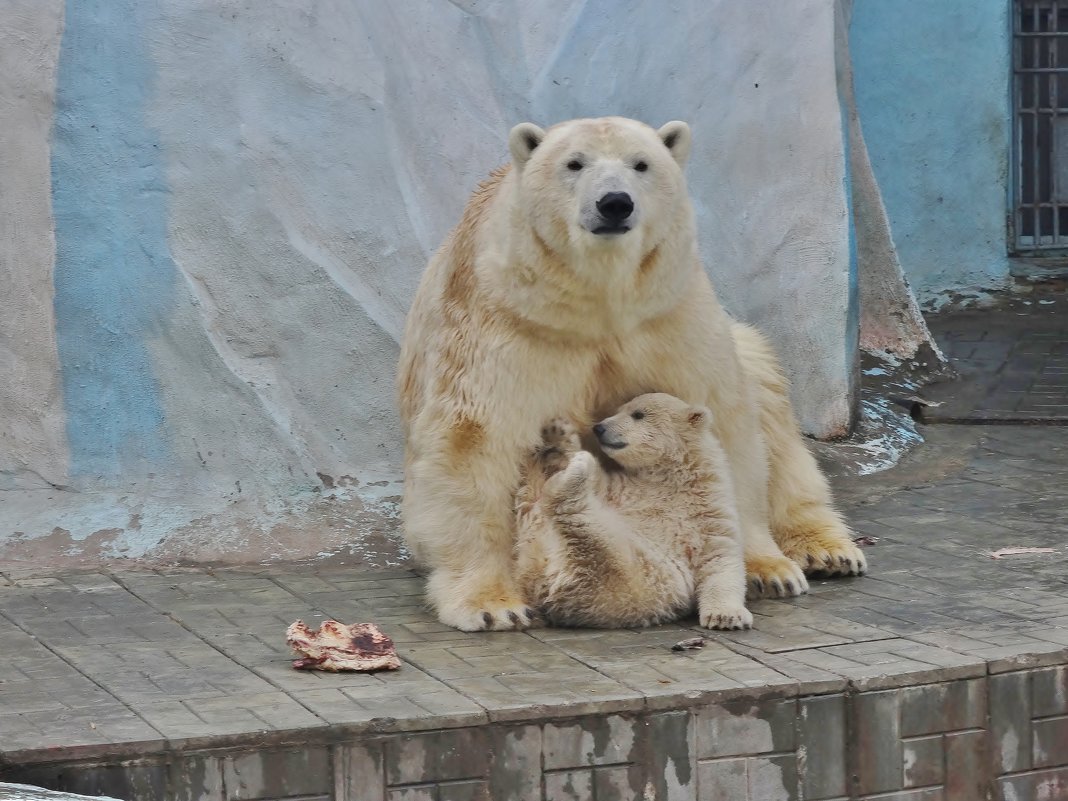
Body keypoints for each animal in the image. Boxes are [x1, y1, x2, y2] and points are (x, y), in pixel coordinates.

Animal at [397, 115, 862, 632]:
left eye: (641, 164)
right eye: (574, 163)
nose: (615, 203)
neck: (600, 299)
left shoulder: (666, 312)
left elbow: (723, 419)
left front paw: (767, 569)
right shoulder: (508, 322)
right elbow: (475, 437)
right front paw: (491, 604)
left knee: (769, 398)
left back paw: (828, 550)